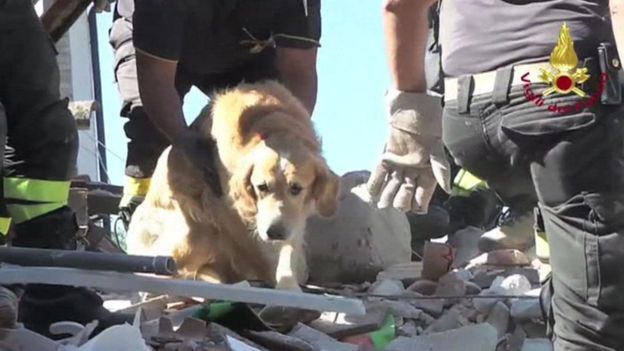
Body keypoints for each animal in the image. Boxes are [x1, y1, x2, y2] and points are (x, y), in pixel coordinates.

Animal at [127, 80, 342, 292]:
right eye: (261, 187)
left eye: (296, 188)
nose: (274, 232)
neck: (272, 126)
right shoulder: (225, 209)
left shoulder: (293, 215)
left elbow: (290, 245)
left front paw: (288, 283)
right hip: (196, 230)